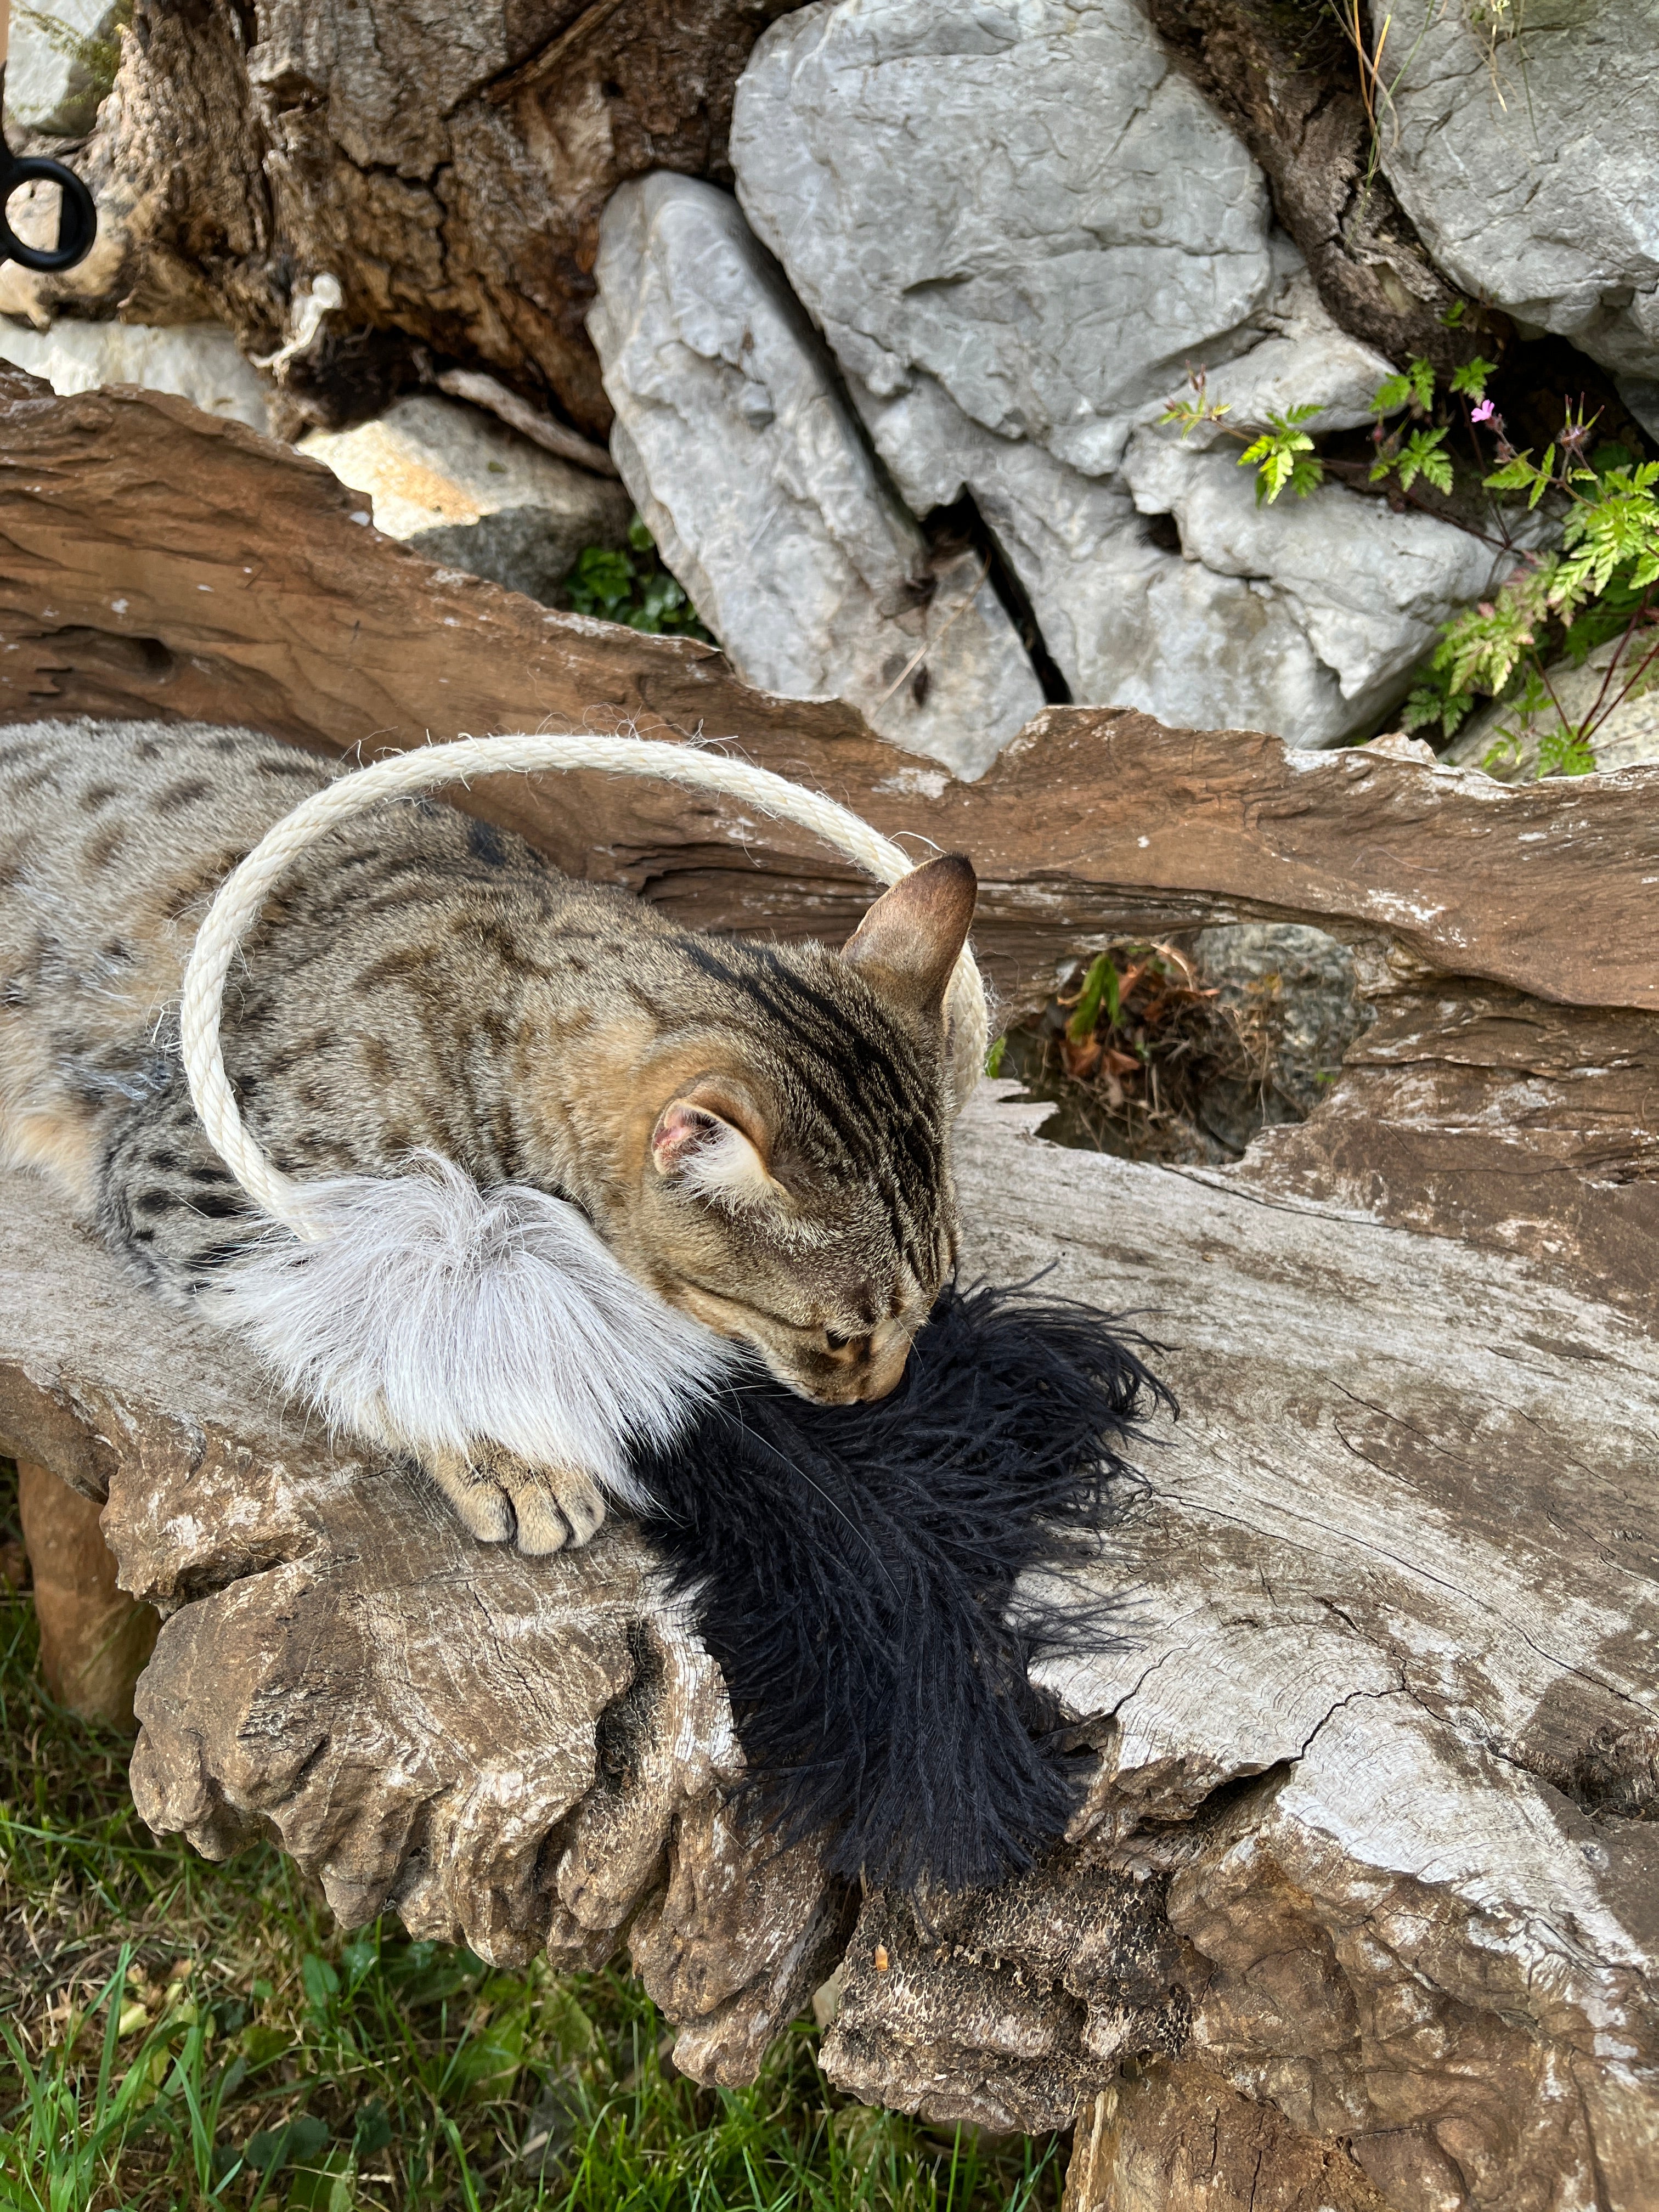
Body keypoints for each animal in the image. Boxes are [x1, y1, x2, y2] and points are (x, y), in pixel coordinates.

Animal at [0, 716, 982, 1548]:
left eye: (937, 1300)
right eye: (840, 1337)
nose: (881, 1396)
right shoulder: (195, 1165)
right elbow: (399, 1324)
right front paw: (511, 1455)